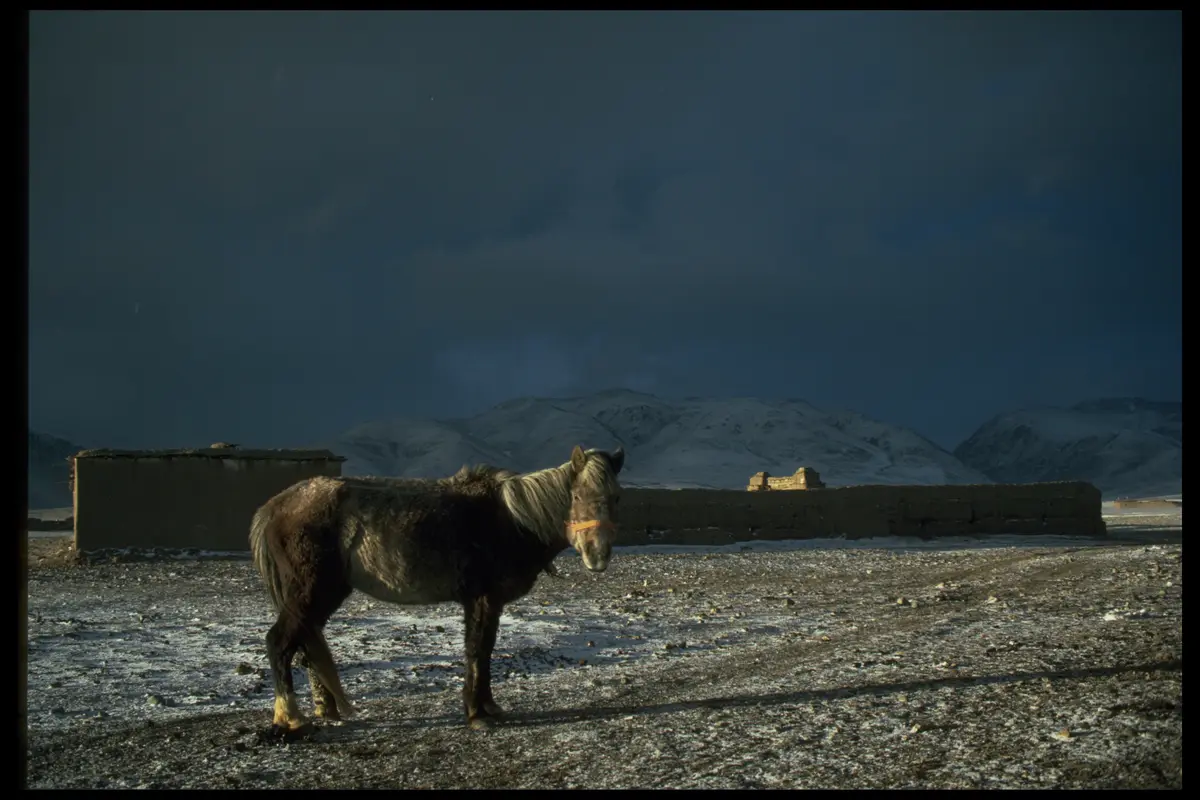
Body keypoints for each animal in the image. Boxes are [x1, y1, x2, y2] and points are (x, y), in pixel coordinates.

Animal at [248, 444, 625, 735]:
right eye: (576, 495)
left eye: (616, 498)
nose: (597, 555)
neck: (512, 520)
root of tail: (275, 506)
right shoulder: (482, 599)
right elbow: (476, 651)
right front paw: (475, 714)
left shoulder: (488, 603)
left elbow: (485, 651)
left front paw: (488, 706)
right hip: (309, 595)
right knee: (279, 642)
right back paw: (290, 719)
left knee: (306, 644)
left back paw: (326, 711)